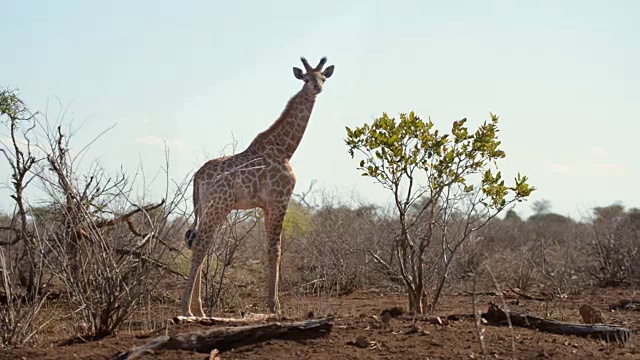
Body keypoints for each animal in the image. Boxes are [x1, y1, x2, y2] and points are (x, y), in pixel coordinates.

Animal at [180, 54, 336, 316]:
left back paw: (199, 310)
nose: (317, 88)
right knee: (200, 244)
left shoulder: (265, 206)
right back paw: (186, 310)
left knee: (199, 243)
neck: (285, 149)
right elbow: (276, 250)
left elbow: (270, 249)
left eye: (322, 77)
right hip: (218, 206)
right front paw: (275, 306)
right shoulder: (279, 200)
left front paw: (273, 304)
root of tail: (197, 177)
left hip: (207, 207)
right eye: (306, 78)